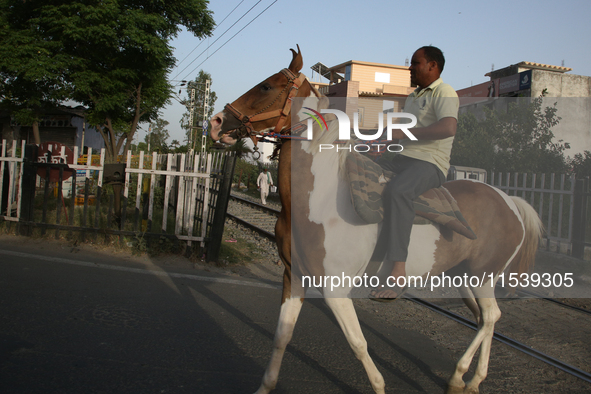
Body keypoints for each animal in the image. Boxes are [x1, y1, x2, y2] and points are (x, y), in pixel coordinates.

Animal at [210, 46, 544, 394]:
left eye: (266, 86)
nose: (216, 123)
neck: (321, 197)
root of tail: (511, 202)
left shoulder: (334, 289)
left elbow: (358, 344)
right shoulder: (294, 279)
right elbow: (281, 336)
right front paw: (265, 386)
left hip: (482, 277)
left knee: (491, 317)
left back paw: (460, 376)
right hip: (466, 279)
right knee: (485, 319)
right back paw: (471, 380)